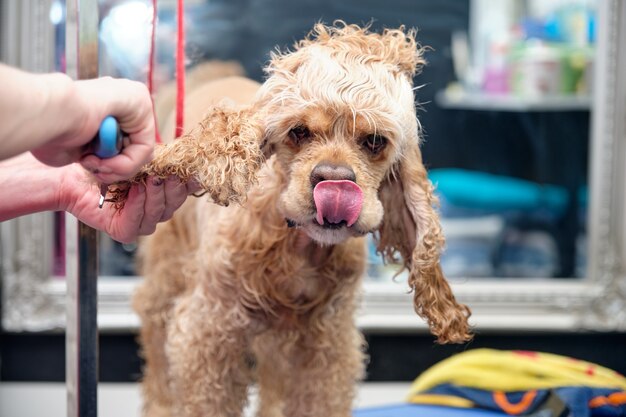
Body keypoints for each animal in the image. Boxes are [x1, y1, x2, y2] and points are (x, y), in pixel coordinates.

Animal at [130, 22, 468, 416]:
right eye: (299, 132)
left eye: (374, 141)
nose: (334, 182)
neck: (296, 247)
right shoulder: (210, 329)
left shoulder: (327, 342)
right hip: (167, 269)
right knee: (153, 323)